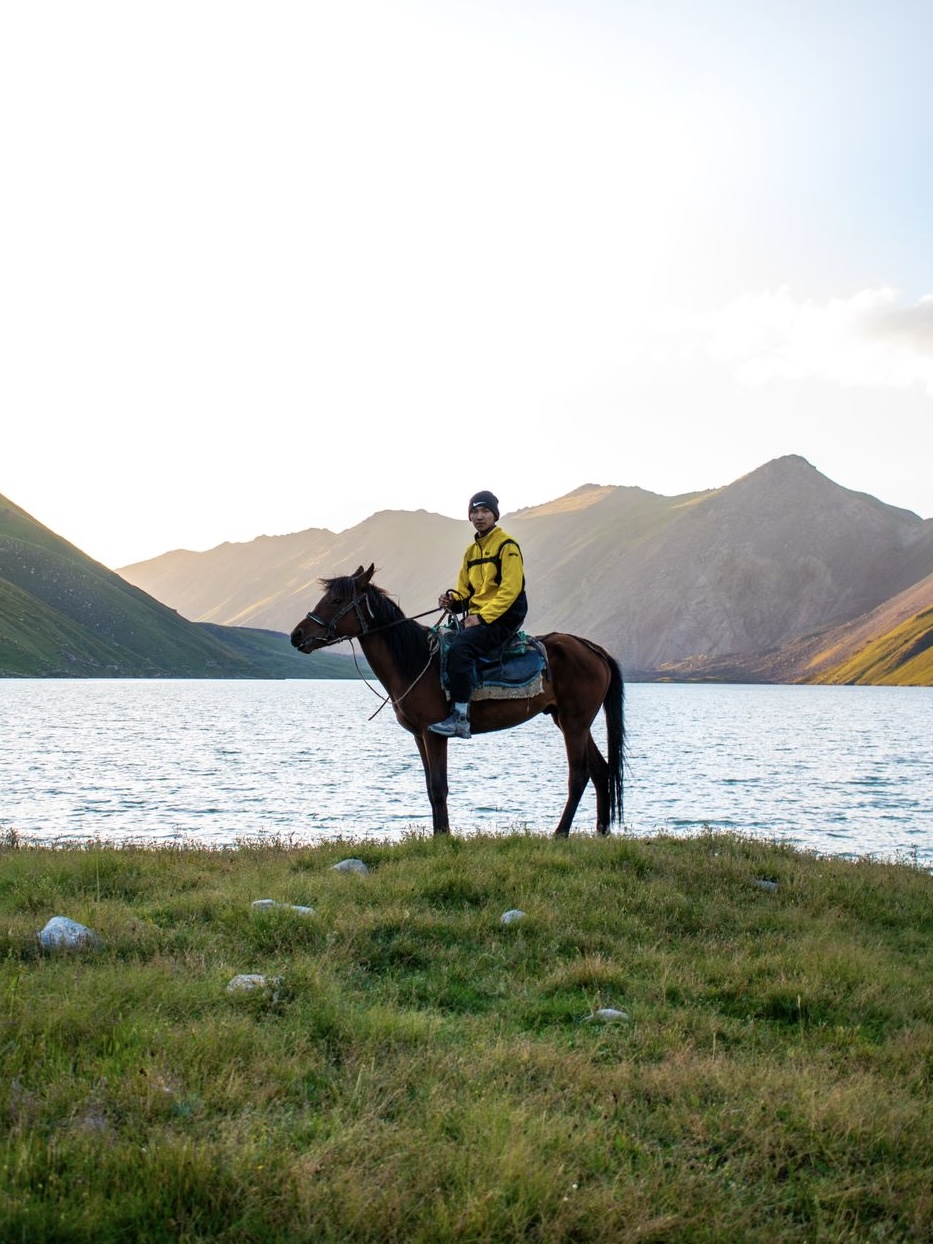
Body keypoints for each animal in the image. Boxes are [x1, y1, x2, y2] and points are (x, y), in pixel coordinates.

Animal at [289, 564, 625, 838]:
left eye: (337, 601)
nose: (297, 635)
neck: (415, 661)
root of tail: (593, 649)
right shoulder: (419, 736)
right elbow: (430, 788)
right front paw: (438, 834)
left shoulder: (434, 733)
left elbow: (439, 787)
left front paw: (443, 838)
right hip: (570, 721)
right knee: (601, 770)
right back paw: (601, 832)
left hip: (574, 723)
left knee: (579, 775)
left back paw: (560, 833)